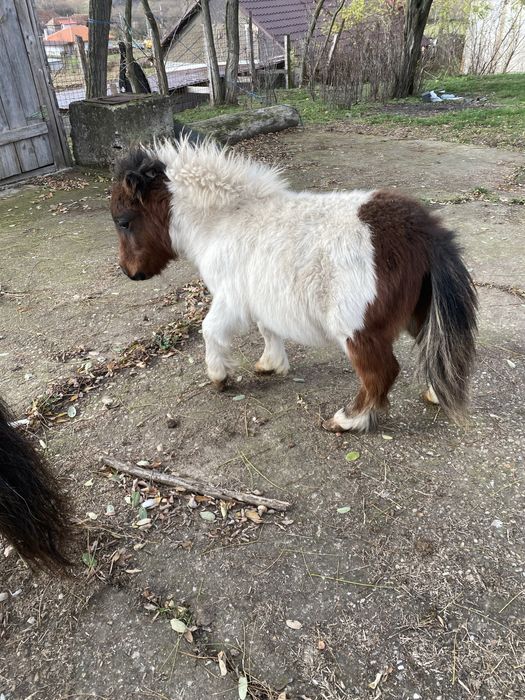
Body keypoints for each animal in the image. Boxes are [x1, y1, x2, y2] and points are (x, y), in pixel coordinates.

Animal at [110, 138, 477, 433]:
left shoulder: (231, 299)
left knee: (381, 373)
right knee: (435, 347)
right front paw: (270, 364)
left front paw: (219, 376)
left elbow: (210, 331)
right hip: (419, 314)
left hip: (357, 331)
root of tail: (423, 232)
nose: (129, 272)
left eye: (123, 221)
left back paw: (347, 420)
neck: (225, 220)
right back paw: (435, 392)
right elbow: (267, 328)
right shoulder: (261, 294)